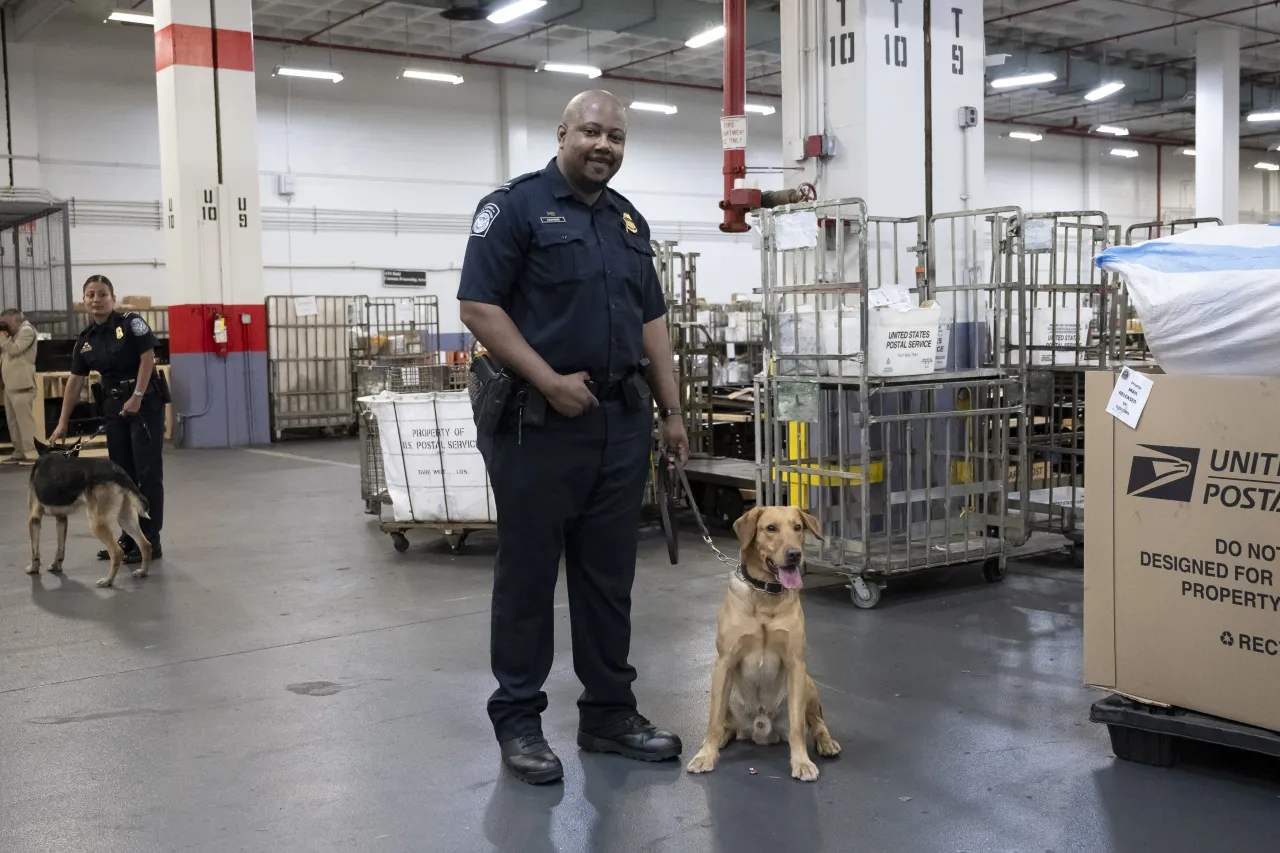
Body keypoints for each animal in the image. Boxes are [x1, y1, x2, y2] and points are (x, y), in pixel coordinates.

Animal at [26, 438, 150, 584]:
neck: (55, 452)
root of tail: (118, 471)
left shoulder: (34, 519)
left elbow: (34, 550)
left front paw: (33, 568)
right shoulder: (61, 518)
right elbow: (60, 548)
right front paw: (56, 565)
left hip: (97, 523)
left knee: (117, 552)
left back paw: (108, 581)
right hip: (125, 518)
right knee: (145, 545)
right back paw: (142, 572)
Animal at [691, 502, 839, 778]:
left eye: (798, 527)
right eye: (771, 528)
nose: (795, 554)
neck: (765, 592)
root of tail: (760, 730)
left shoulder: (795, 663)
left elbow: (797, 727)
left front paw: (801, 762)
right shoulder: (724, 662)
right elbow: (713, 720)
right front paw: (706, 755)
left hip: (808, 683)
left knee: (816, 723)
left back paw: (826, 742)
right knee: (724, 723)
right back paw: (720, 738)